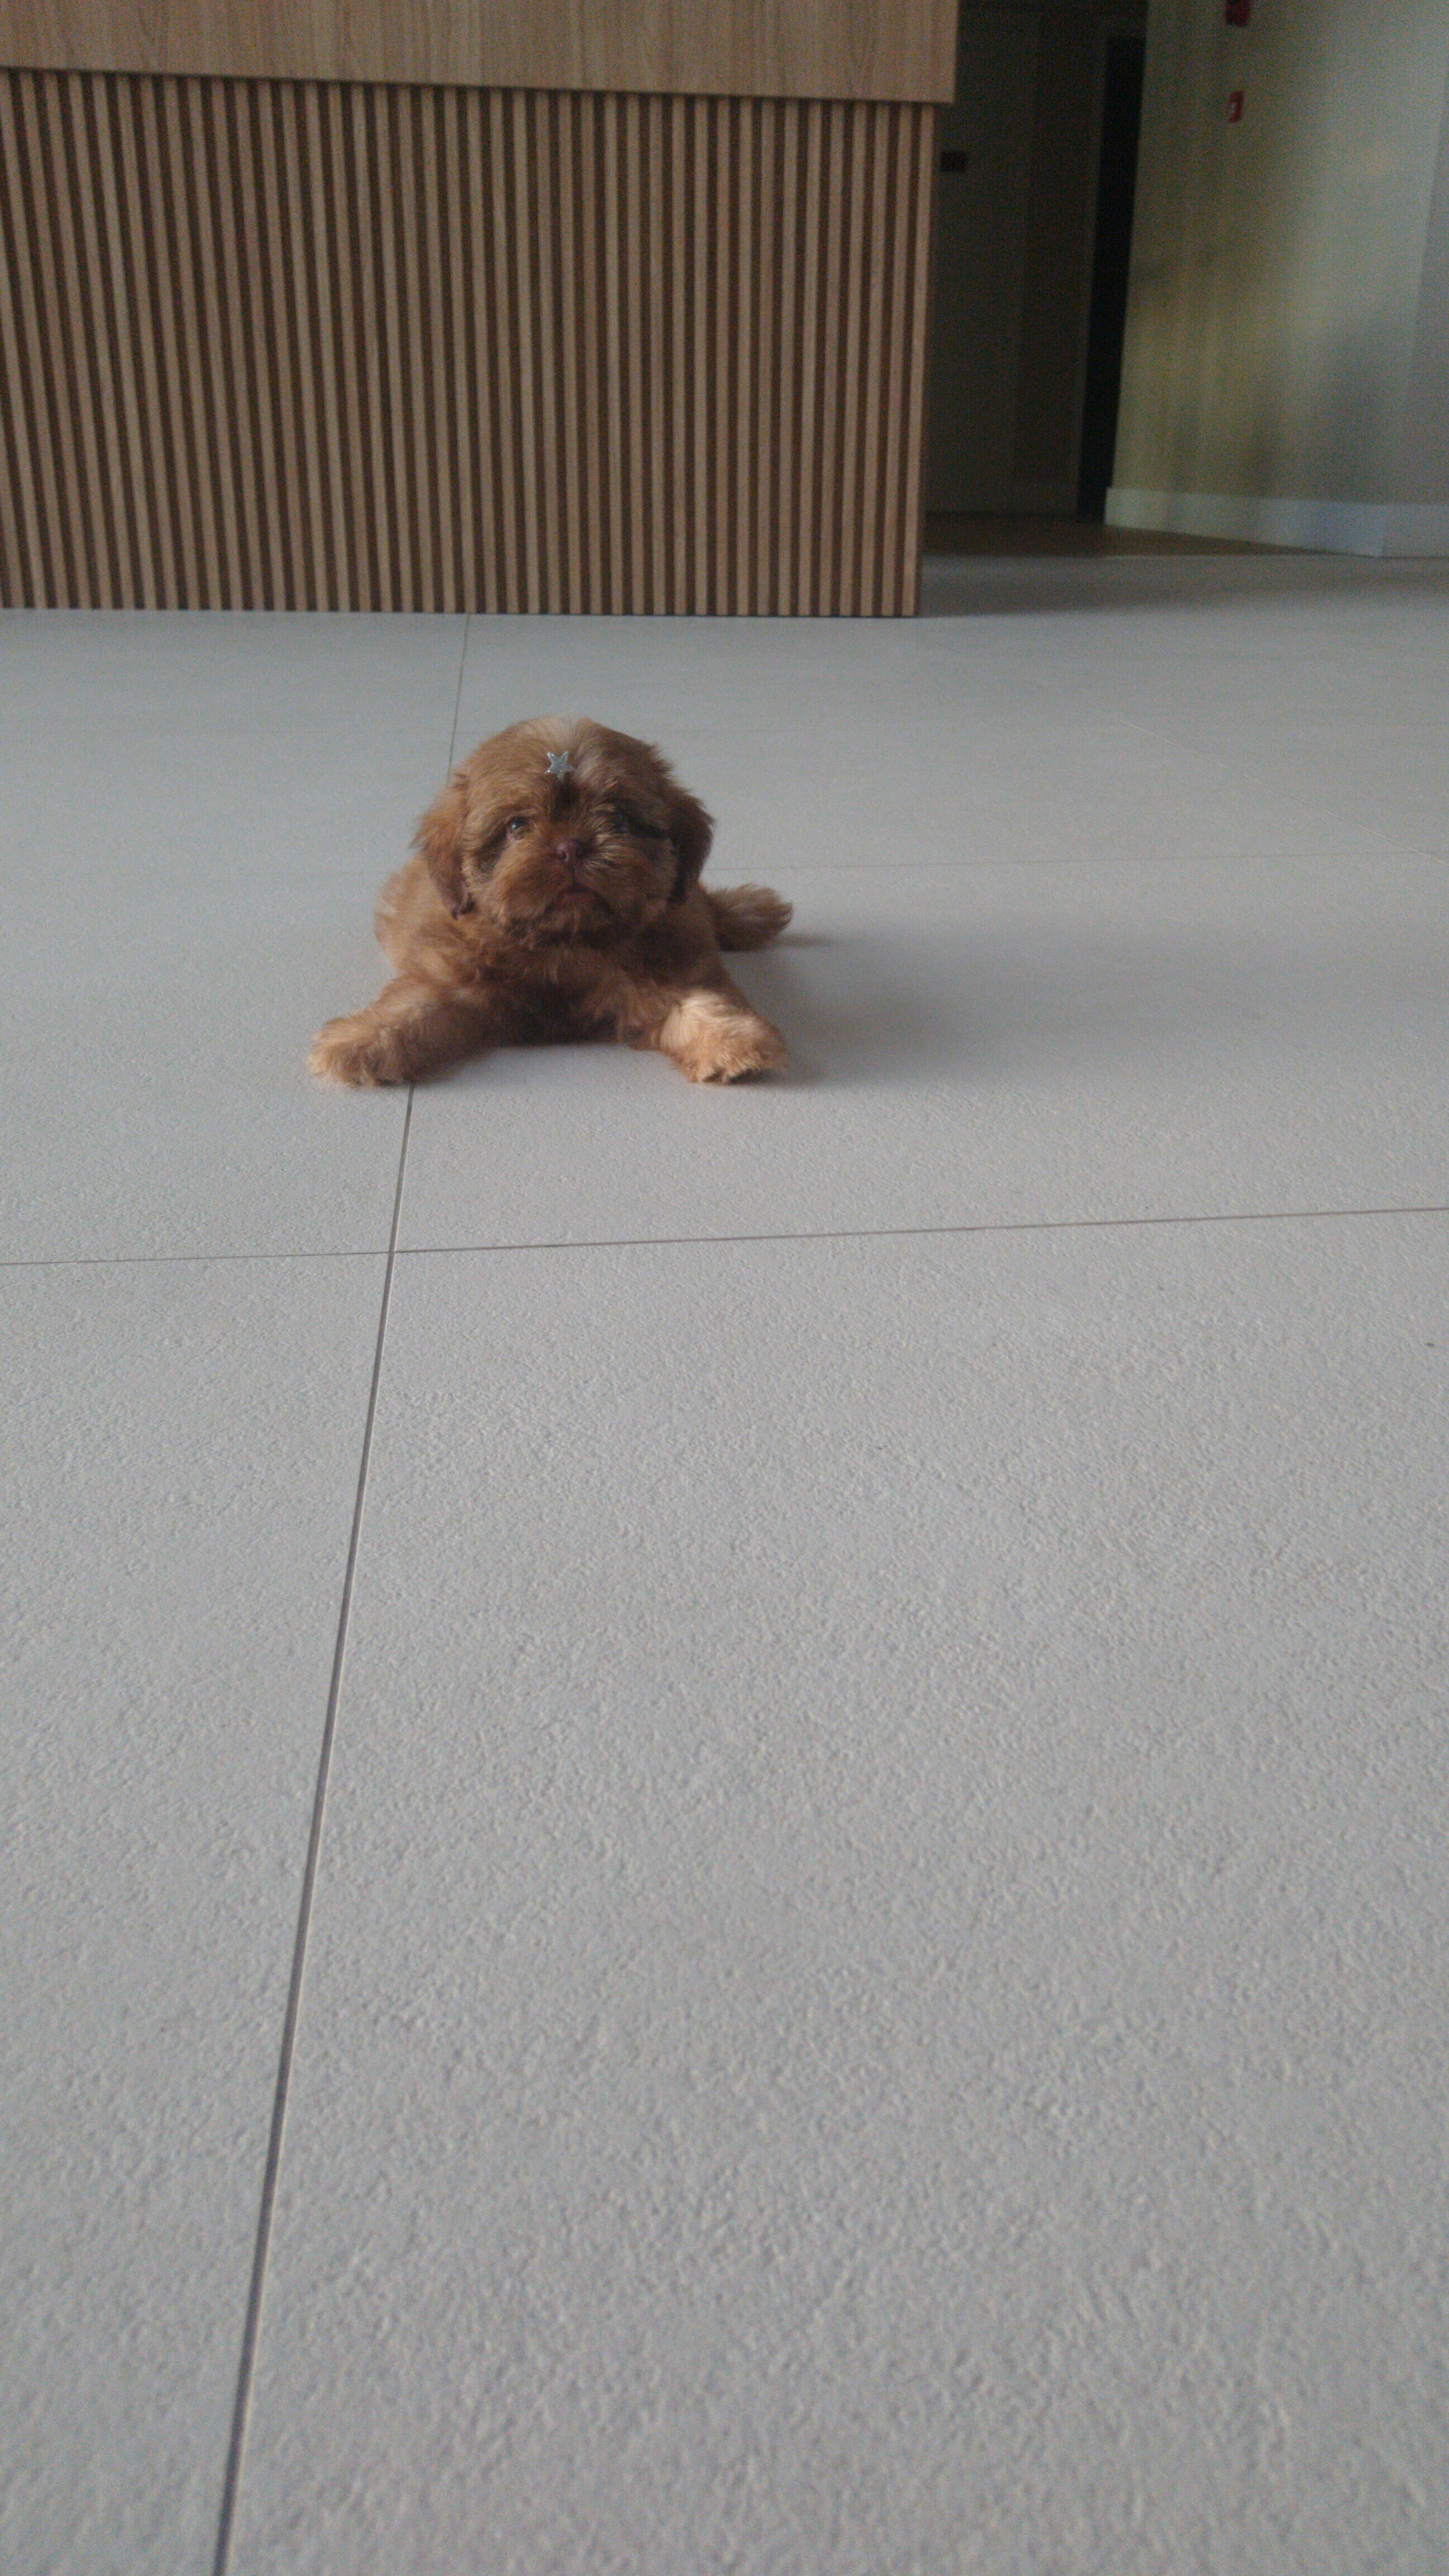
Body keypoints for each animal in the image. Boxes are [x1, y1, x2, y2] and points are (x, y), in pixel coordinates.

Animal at [308, 718, 791, 1088]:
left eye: (618, 819)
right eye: (517, 826)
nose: (571, 847)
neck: (564, 941)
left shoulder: (669, 967)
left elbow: (702, 1002)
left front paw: (736, 1042)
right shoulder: (450, 978)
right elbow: (410, 1006)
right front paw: (360, 1041)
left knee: (704, 900)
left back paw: (750, 911)